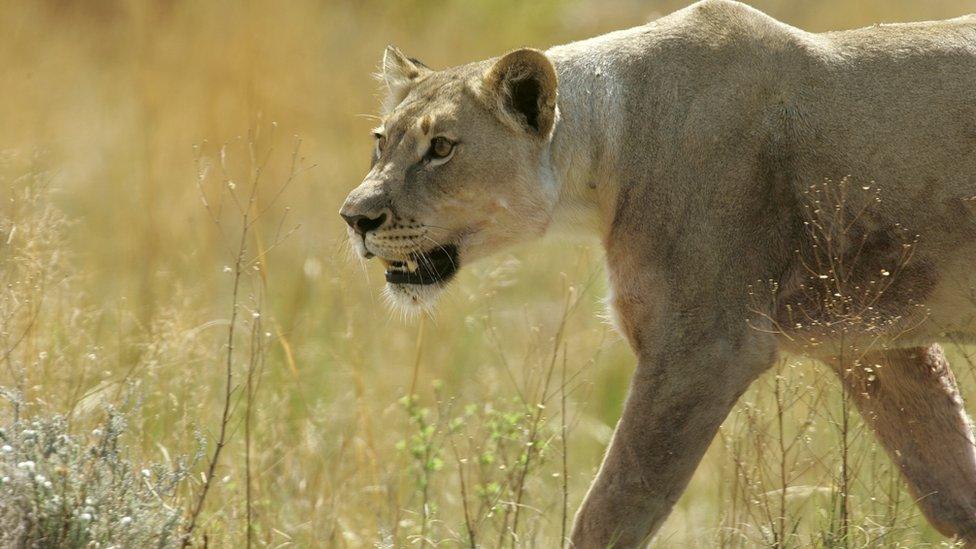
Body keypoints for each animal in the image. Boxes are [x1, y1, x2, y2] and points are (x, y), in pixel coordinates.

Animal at [340, 1, 976, 544]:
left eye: (442, 148)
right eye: (381, 142)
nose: (354, 217)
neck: (607, 155)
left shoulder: (701, 350)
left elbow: (613, 512)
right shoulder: (873, 344)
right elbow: (955, 492)